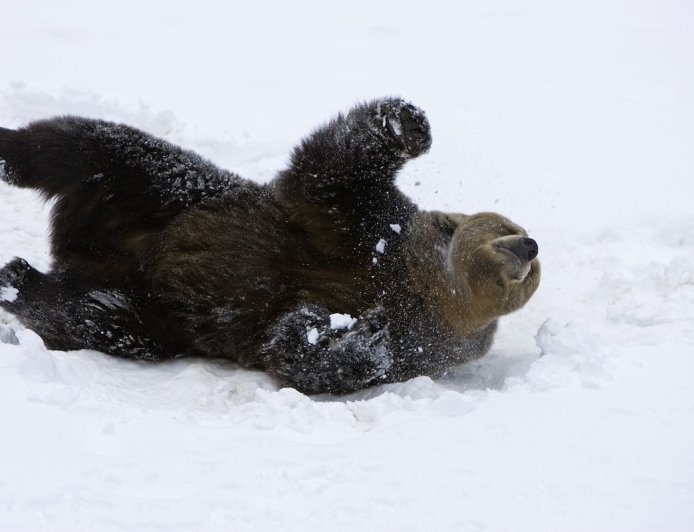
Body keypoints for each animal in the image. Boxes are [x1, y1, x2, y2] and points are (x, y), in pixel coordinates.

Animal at [0, 98, 540, 395]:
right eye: (502, 226)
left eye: (532, 278)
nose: (529, 245)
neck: (421, 285)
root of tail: (76, 244)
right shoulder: (367, 229)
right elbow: (332, 170)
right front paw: (405, 125)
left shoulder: (426, 341)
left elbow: (304, 351)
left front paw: (353, 334)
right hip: (163, 192)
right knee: (83, 145)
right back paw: (8, 154)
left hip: (148, 312)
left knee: (90, 314)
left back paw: (17, 278)